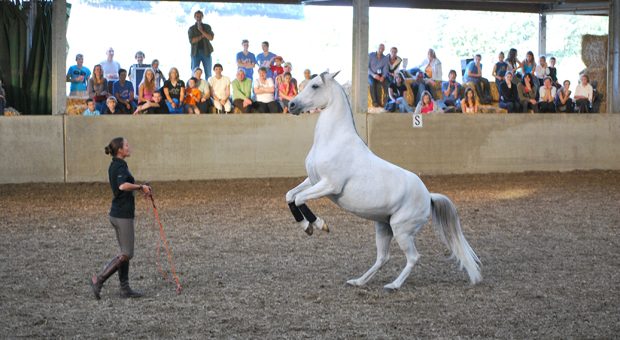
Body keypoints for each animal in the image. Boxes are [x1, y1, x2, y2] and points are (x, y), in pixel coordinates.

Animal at [286, 69, 484, 292]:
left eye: (315, 86)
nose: (291, 105)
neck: (333, 141)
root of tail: (429, 197)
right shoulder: (313, 181)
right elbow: (290, 196)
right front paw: (306, 226)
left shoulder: (329, 185)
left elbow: (300, 199)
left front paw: (318, 225)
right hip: (383, 227)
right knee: (383, 258)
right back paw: (358, 281)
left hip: (401, 230)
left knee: (413, 257)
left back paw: (393, 285)